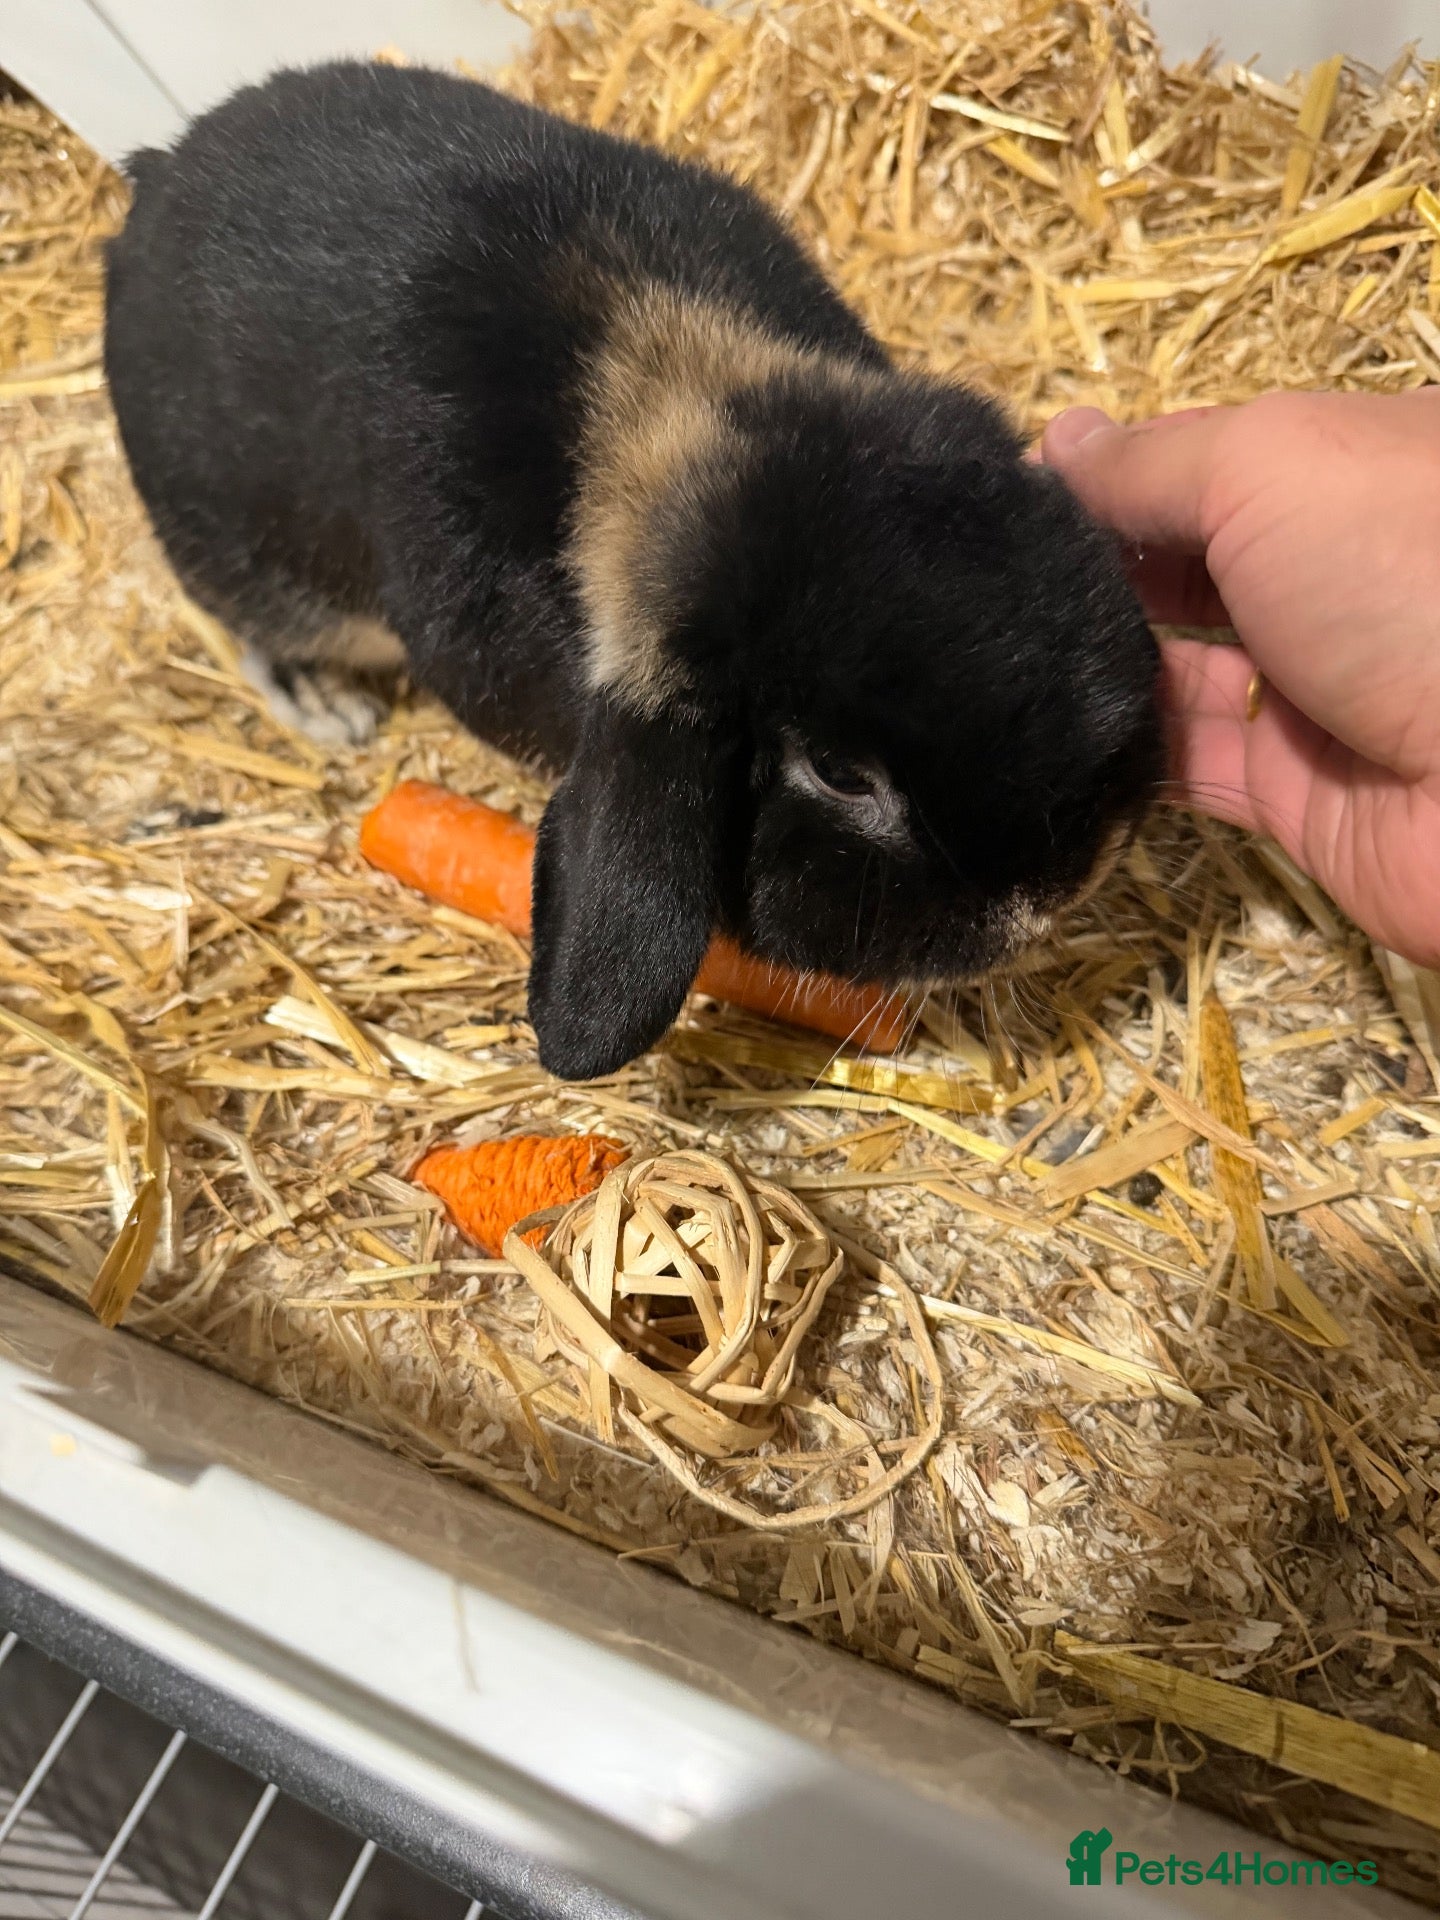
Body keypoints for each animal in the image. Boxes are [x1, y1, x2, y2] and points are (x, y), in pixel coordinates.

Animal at [103, 60, 1162, 1083]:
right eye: (839, 776)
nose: (1052, 898)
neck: (670, 392)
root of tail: (153, 185)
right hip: (263, 573)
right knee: (257, 644)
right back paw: (334, 713)